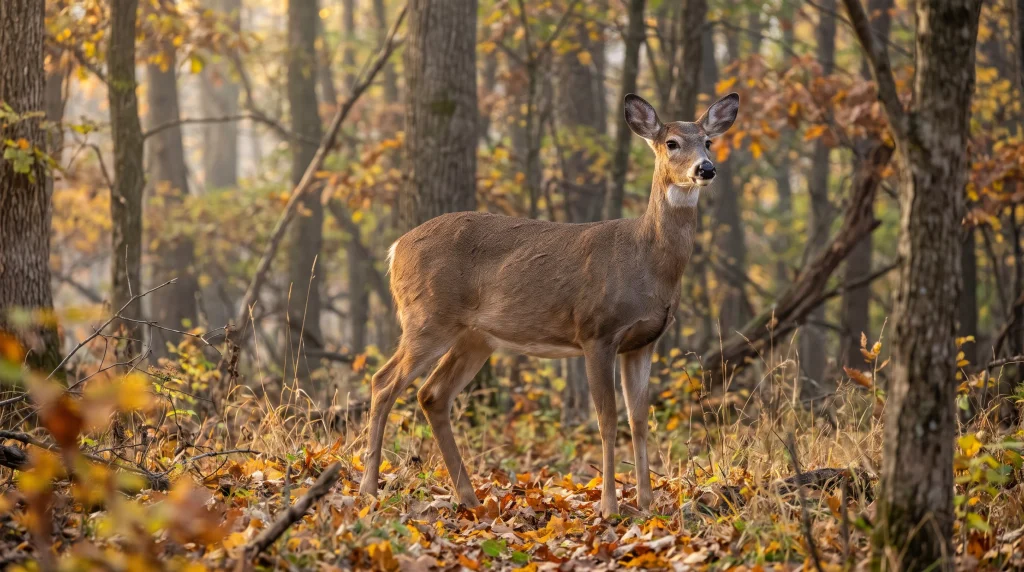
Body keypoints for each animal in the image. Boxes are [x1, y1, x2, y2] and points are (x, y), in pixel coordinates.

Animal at [358, 92, 739, 517]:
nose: (705, 168)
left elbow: (639, 419)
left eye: (708, 141)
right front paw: (609, 506)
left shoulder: (643, 341)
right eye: (672, 142)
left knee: (431, 395)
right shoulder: (596, 331)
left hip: (475, 337)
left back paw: (469, 497)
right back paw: (369, 489)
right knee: (383, 382)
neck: (647, 260)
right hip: (427, 317)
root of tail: (396, 249)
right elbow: (607, 419)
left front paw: (646, 504)